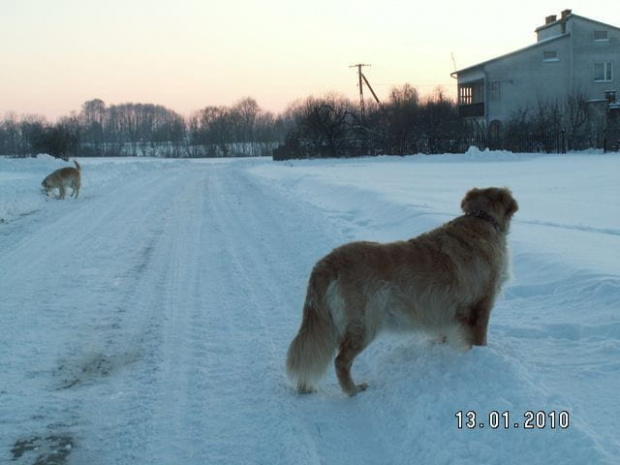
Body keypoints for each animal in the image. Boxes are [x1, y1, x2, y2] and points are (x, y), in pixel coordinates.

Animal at [286, 186, 520, 396]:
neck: (481, 219)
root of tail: (328, 261)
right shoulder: (481, 305)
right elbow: (480, 339)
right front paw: (481, 356)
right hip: (364, 324)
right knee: (340, 360)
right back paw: (352, 390)